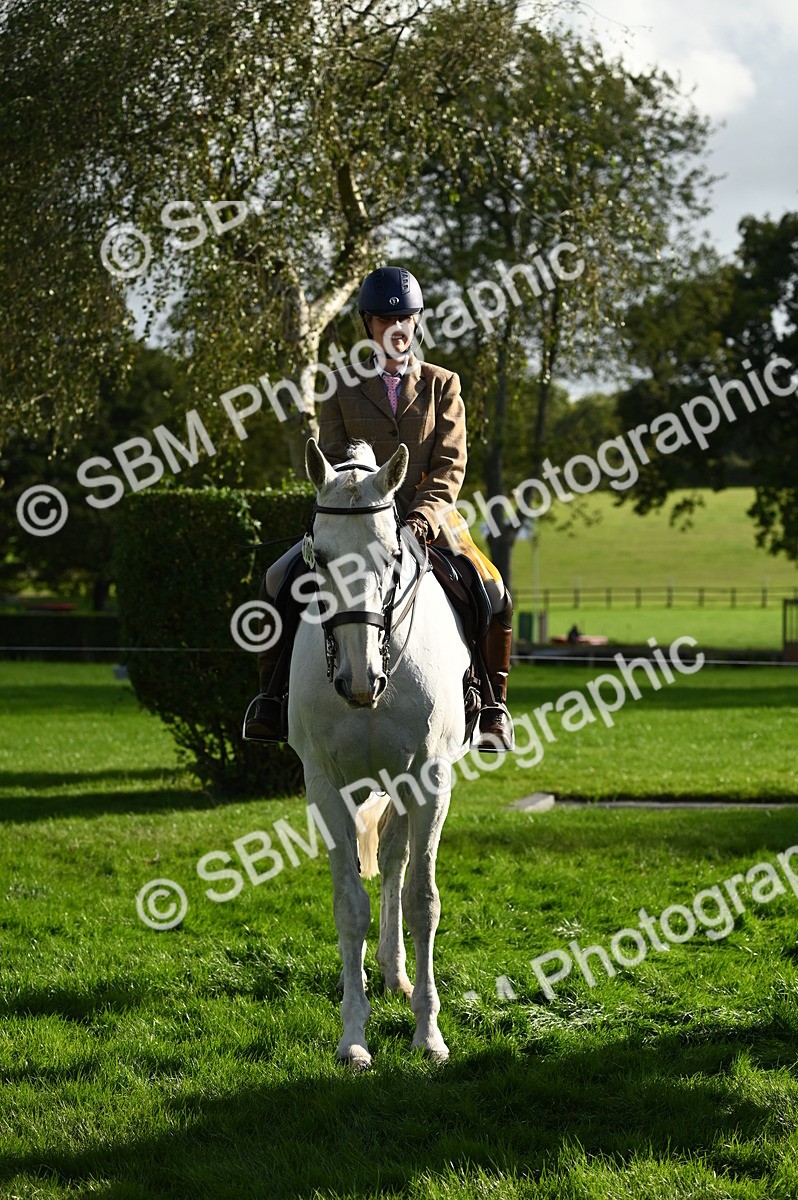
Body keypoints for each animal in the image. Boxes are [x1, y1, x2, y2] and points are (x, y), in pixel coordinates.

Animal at [288, 437, 471, 1069]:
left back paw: (398, 976)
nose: (359, 679)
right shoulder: (326, 786)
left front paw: (429, 1034)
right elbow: (350, 905)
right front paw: (353, 1037)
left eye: (392, 553)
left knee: (396, 863)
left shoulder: (430, 781)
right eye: (317, 558)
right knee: (388, 860)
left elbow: (422, 900)